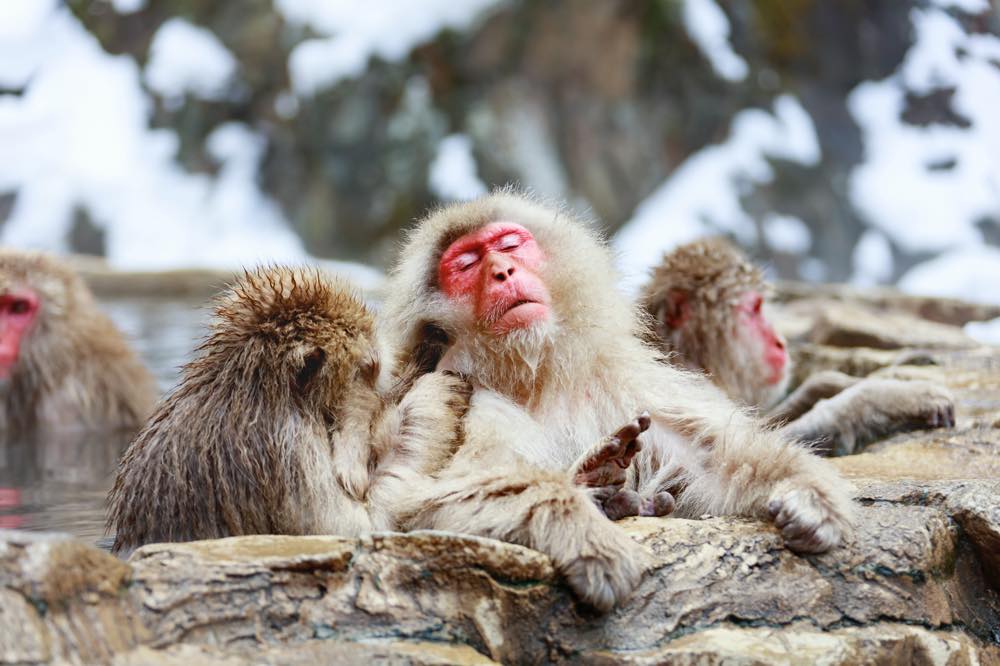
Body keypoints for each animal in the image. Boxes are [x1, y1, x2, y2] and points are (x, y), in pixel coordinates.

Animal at [108, 264, 468, 556]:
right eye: (370, 369)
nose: (386, 377)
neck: (255, 392)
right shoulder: (291, 454)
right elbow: (359, 527)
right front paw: (433, 399)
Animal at [378, 189, 856, 608]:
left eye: (510, 245)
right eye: (466, 264)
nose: (503, 273)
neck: (532, 374)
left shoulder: (620, 379)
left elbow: (713, 460)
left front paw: (809, 495)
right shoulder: (461, 392)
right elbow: (427, 499)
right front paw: (590, 541)